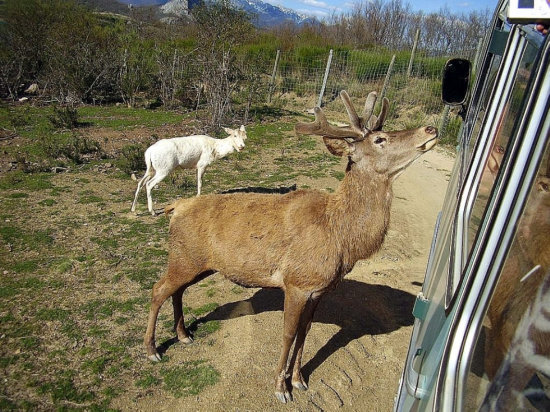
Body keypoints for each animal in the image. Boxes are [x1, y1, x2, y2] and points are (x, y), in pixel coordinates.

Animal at [143, 91, 440, 402]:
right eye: (380, 139)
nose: (430, 129)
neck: (342, 236)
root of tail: (175, 207)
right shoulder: (296, 282)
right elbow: (287, 334)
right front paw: (280, 387)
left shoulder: (320, 289)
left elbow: (305, 331)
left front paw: (298, 380)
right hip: (184, 257)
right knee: (158, 289)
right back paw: (152, 349)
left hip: (196, 263)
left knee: (177, 291)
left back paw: (184, 335)